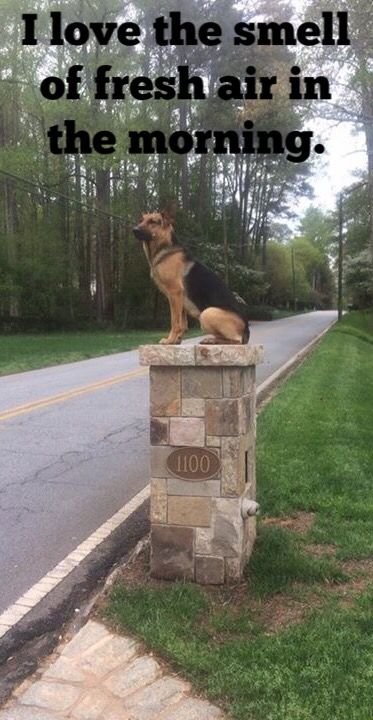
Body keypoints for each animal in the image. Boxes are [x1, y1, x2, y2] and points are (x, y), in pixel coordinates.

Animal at [132, 210, 248, 344]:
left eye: (153, 222)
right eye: (141, 220)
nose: (134, 230)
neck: (166, 250)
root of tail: (246, 330)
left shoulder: (175, 293)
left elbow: (175, 321)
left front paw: (169, 340)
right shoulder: (180, 299)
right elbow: (182, 323)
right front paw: (176, 340)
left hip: (207, 313)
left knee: (236, 340)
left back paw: (211, 340)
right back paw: (210, 339)